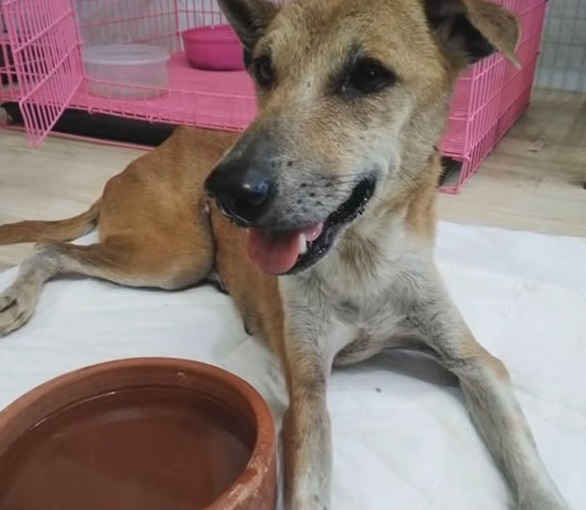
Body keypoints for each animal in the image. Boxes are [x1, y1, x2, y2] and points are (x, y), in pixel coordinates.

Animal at [0, 0, 564, 510]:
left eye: (369, 75)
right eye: (263, 69)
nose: (227, 190)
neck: (363, 259)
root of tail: (147, 155)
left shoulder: (475, 362)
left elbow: (524, 456)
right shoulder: (308, 391)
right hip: (174, 259)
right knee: (51, 247)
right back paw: (16, 298)